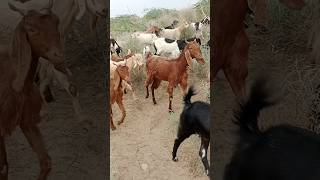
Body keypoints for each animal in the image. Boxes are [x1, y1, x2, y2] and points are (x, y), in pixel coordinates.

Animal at [0, 1, 65, 179]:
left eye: (56, 22)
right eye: (31, 29)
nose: (58, 55)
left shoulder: (28, 120)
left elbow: (46, 161)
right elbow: (2, 168)